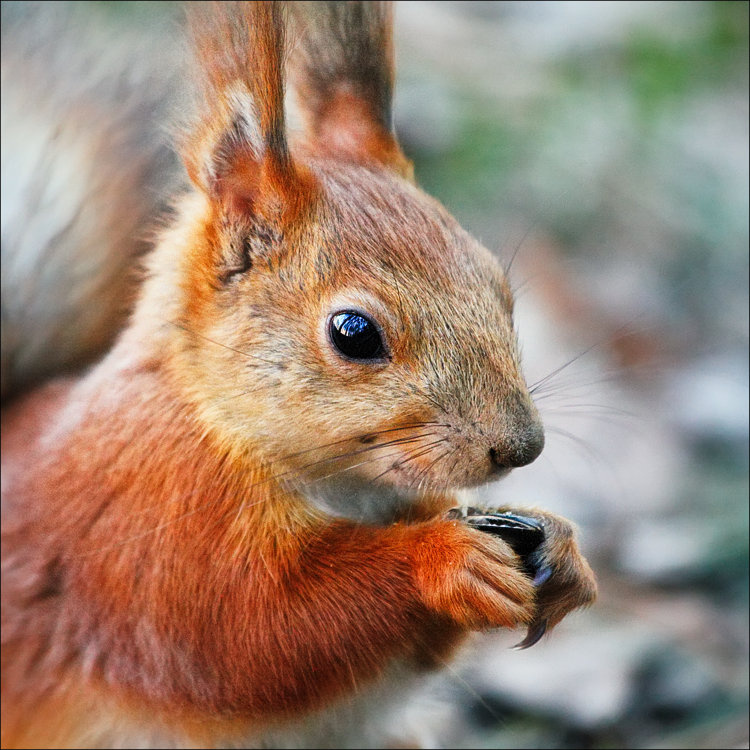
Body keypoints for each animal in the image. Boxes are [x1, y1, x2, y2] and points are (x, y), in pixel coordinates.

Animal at [0, 2, 597, 748]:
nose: (521, 447)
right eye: (354, 333)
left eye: (498, 285)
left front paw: (562, 550)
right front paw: (444, 558)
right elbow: (256, 639)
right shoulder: (153, 535)